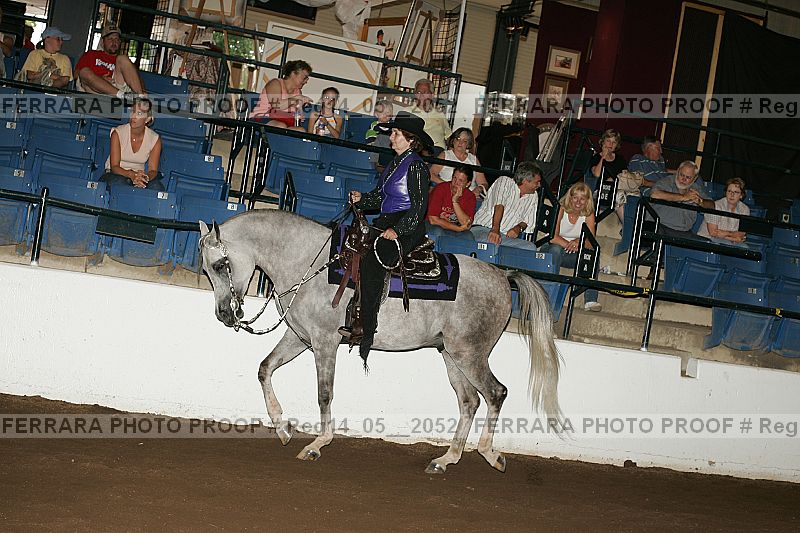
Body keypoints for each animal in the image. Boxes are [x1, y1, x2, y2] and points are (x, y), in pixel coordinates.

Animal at [198, 209, 562, 473]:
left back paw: (490, 454)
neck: (307, 262)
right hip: (451, 355)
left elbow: (324, 394)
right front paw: (283, 427)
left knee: (495, 393)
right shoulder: (300, 337)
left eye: (220, 264)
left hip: (469, 353)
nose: (223, 314)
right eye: (206, 268)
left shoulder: (325, 341)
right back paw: (445, 460)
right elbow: (265, 369)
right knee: (469, 401)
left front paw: (316, 445)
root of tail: (502, 276)